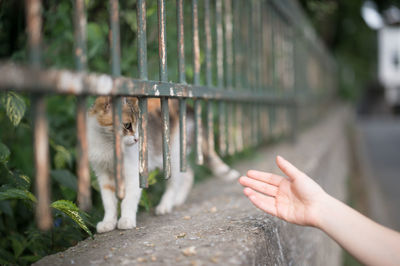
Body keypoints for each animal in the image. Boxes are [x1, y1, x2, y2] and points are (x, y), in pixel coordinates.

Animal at [87, 96, 241, 233]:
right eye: (127, 125)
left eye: (139, 127)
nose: (137, 139)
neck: (108, 146)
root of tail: (187, 106)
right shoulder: (103, 175)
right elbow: (108, 202)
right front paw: (108, 222)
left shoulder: (134, 173)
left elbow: (129, 199)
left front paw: (126, 220)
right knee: (188, 174)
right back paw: (177, 200)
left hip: (172, 154)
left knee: (178, 180)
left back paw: (166, 205)